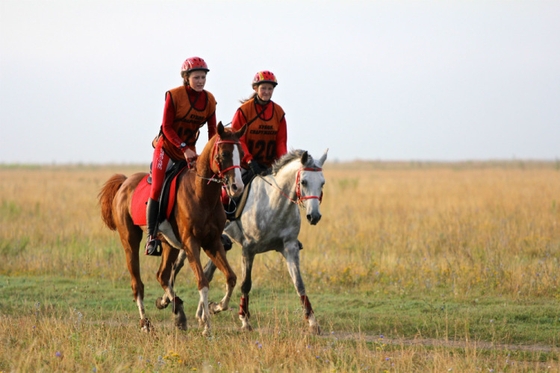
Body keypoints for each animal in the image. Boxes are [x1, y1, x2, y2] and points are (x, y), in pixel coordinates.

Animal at [98, 122, 245, 334]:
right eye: (224, 154)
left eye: (241, 153)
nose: (237, 187)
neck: (202, 193)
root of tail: (124, 182)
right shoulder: (191, 243)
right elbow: (202, 282)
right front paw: (206, 325)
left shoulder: (212, 242)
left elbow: (231, 277)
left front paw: (216, 307)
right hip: (130, 240)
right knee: (137, 284)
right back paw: (146, 323)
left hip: (170, 245)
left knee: (162, 275)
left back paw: (176, 310)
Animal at [206, 147, 328, 332]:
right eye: (304, 182)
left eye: (322, 183)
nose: (314, 216)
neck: (275, 204)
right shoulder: (248, 249)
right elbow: (246, 284)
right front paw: (244, 319)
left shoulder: (290, 248)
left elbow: (299, 284)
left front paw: (313, 322)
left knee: (211, 271)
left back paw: (214, 306)